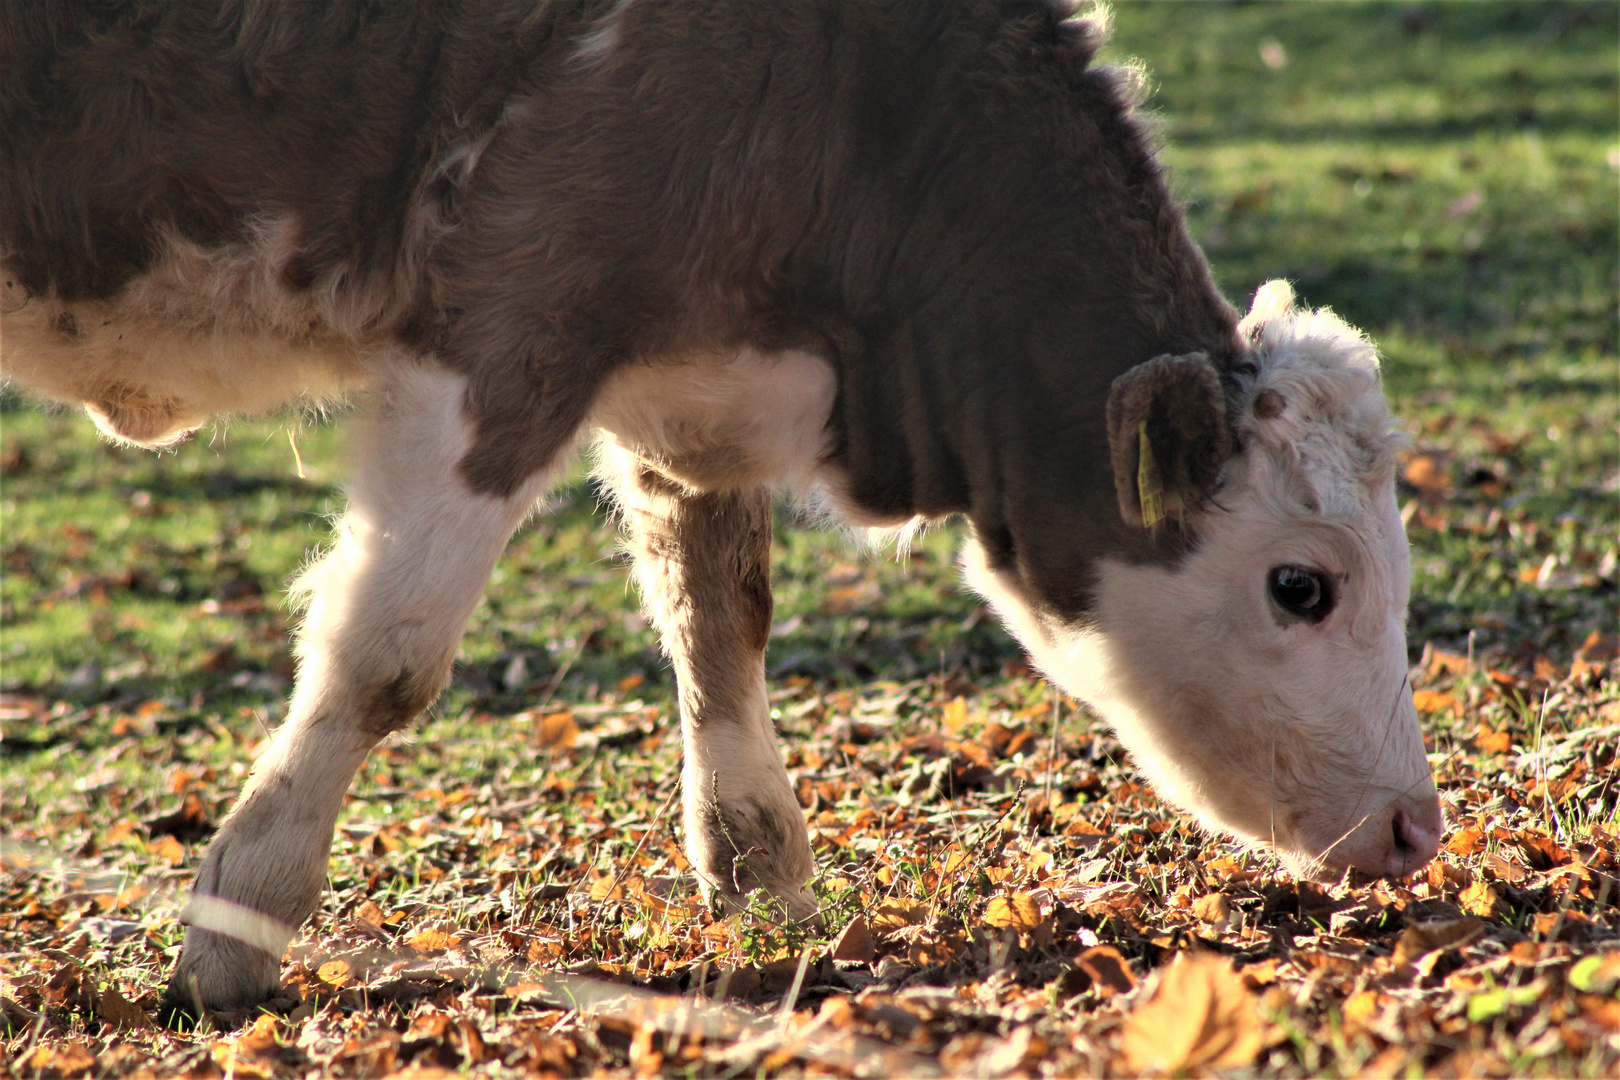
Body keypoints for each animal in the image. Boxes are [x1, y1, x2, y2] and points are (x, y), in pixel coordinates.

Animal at [0, 0, 1445, 1016]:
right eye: (1301, 586)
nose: (1417, 828)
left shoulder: (693, 372)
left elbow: (722, 608)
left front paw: (759, 875)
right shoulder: (509, 329)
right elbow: (382, 657)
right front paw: (235, 930)